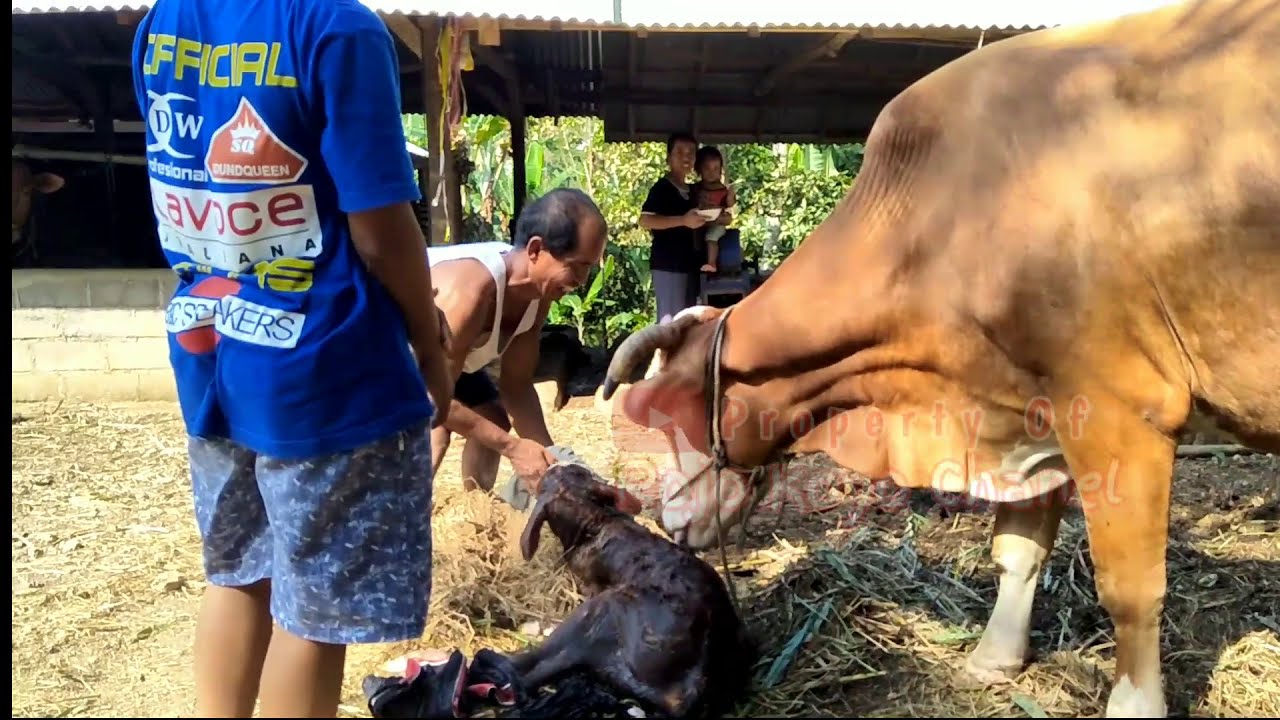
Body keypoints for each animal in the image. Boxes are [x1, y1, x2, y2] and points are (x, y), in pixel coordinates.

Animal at [599, 2, 1280, 712]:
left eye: (670, 411)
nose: (668, 518)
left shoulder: (1121, 408)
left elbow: (1130, 588)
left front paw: (1132, 703)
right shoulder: (1030, 407)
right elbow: (1016, 551)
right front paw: (993, 657)